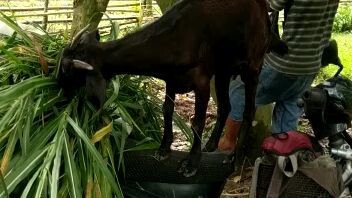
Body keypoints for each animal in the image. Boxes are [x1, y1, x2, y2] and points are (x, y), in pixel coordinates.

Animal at [58, 0, 286, 177]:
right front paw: (164, 148)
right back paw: (211, 145)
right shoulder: (171, 80)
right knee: (225, 107)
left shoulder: (202, 81)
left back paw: (235, 158)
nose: (58, 88)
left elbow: (198, 121)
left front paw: (191, 163)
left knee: (249, 110)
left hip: (253, 66)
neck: (176, 38)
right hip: (223, 71)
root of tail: (265, 15)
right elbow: (167, 111)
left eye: (68, 71)